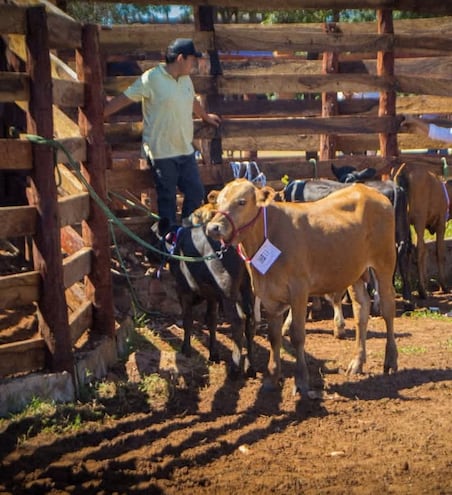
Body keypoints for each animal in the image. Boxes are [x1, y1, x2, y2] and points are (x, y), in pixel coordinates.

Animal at [207, 180, 398, 398]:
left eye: (241, 201)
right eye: (218, 202)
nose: (213, 227)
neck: (269, 234)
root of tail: (367, 190)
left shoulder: (299, 290)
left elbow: (297, 336)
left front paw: (301, 381)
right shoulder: (269, 296)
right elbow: (274, 336)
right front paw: (271, 378)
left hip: (385, 261)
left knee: (387, 308)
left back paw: (391, 360)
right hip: (355, 271)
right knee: (361, 310)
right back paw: (357, 362)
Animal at [398, 166, 450, 298]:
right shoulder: (441, 224)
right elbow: (439, 253)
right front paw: (443, 286)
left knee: (407, 250)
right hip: (419, 220)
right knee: (418, 250)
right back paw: (422, 290)